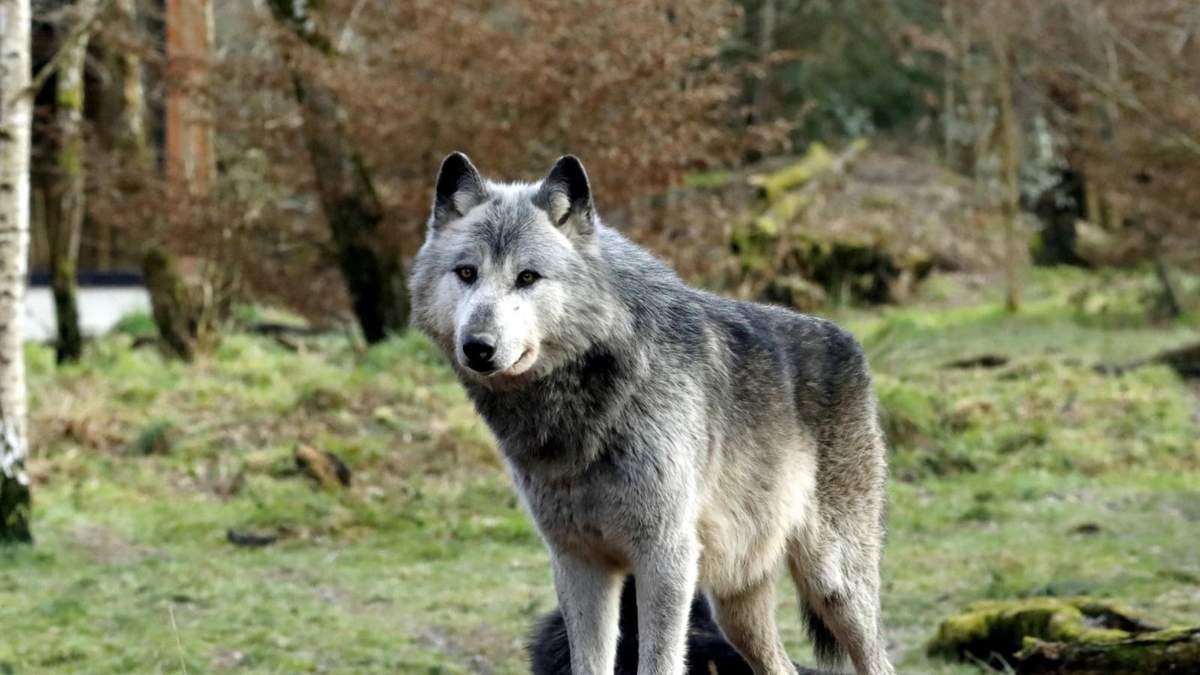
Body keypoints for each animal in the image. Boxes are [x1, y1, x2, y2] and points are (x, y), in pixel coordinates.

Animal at [408, 152, 894, 675]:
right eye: (466, 273)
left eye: (527, 277)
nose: (477, 347)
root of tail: (847, 337)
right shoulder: (578, 562)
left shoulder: (665, 557)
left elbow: (658, 662)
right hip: (736, 605)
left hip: (834, 583)